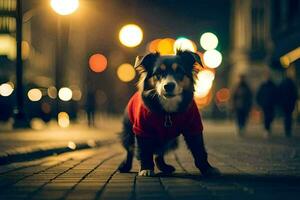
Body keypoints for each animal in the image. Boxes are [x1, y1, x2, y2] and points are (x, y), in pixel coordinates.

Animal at [118, 49, 219, 177]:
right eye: (158, 73)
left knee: (159, 153)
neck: (168, 109)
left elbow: (199, 149)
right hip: (128, 132)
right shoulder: (141, 129)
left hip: (171, 141)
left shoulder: (194, 127)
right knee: (130, 149)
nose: (169, 86)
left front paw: (207, 168)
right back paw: (125, 166)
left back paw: (165, 167)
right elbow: (144, 150)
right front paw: (146, 168)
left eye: (179, 71)